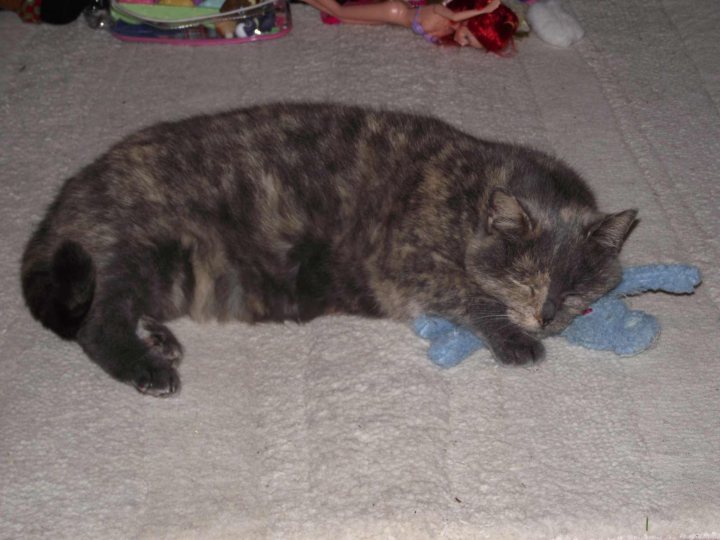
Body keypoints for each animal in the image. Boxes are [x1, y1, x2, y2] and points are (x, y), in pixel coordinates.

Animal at [21, 102, 636, 396]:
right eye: (525, 279)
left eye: (574, 288)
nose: (548, 315)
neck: (469, 199)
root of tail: (67, 196)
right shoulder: (407, 263)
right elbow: (471, 297)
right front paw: (516, 341)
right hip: (140, 253)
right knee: (95, 324)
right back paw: (149, 368)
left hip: (167, 274)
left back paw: (159, 341)